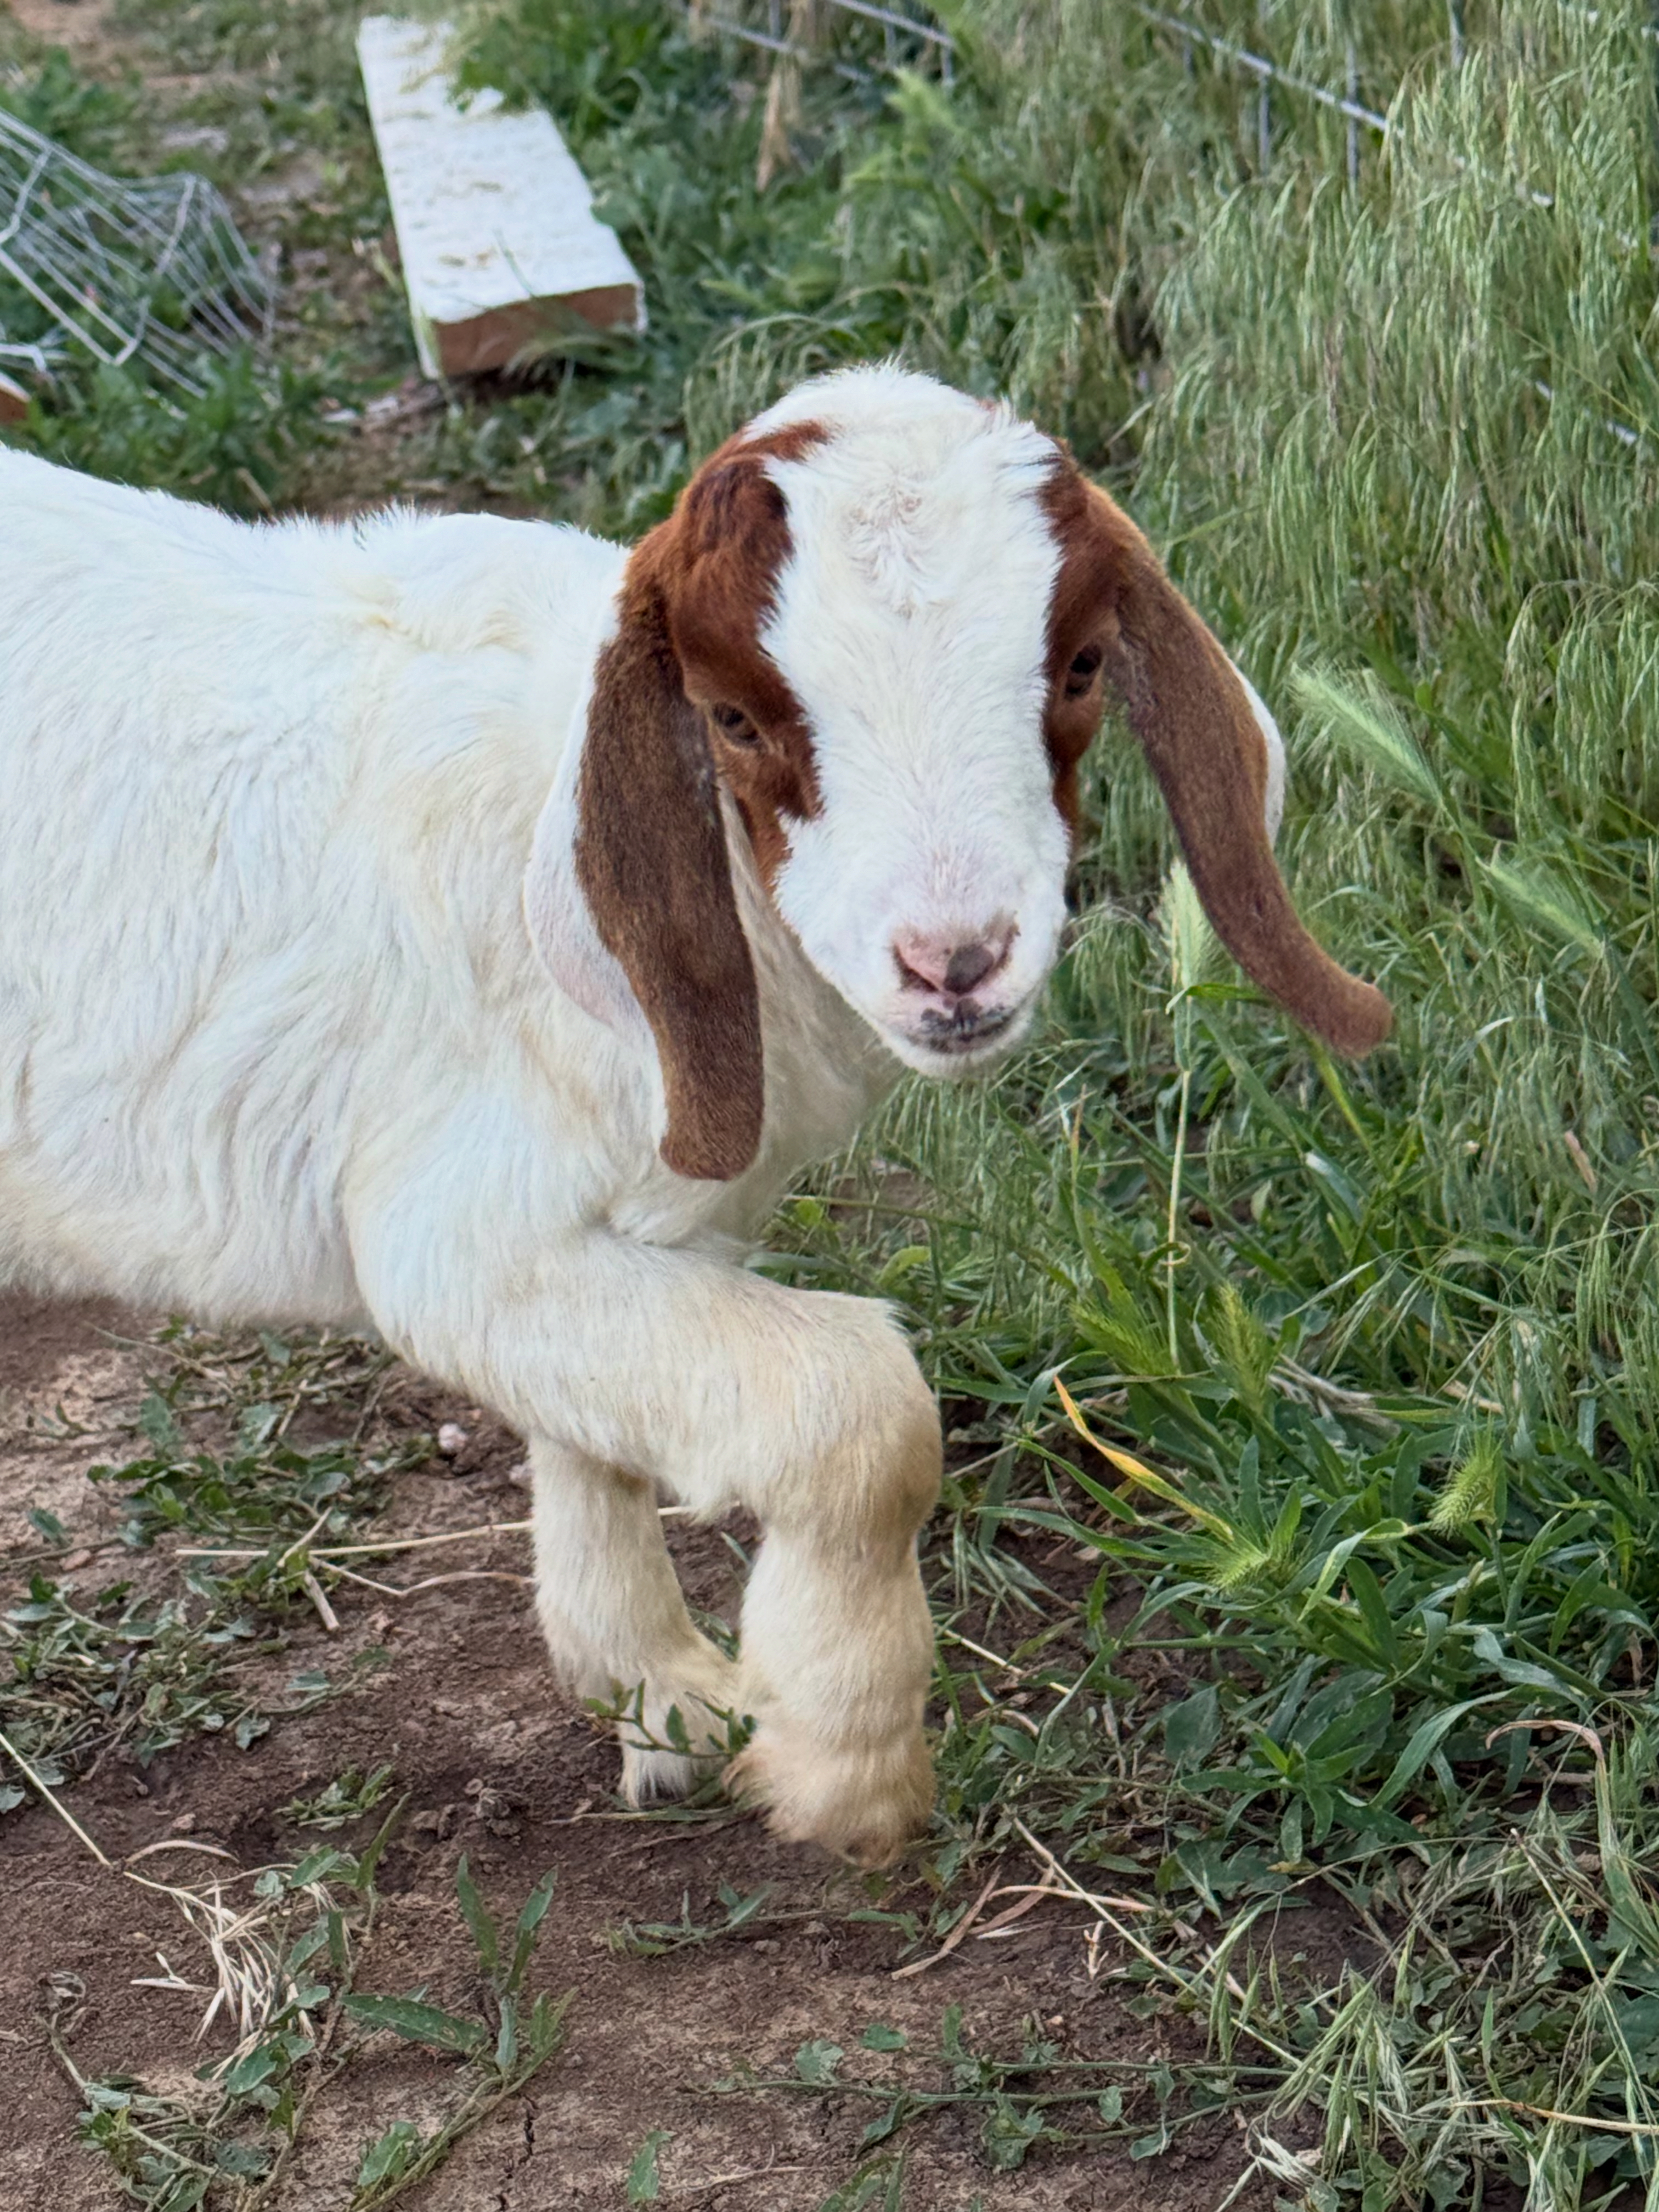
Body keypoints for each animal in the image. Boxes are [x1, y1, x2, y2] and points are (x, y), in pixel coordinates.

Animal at [0, 365, 1390, 1863]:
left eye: (1077, 667)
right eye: (733, 719)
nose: (954, 963)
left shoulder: (645, 1233)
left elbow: (598, 1446)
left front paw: (658, 1696)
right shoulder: (457, 1240)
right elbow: (861, 1416)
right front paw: (839, 1763)